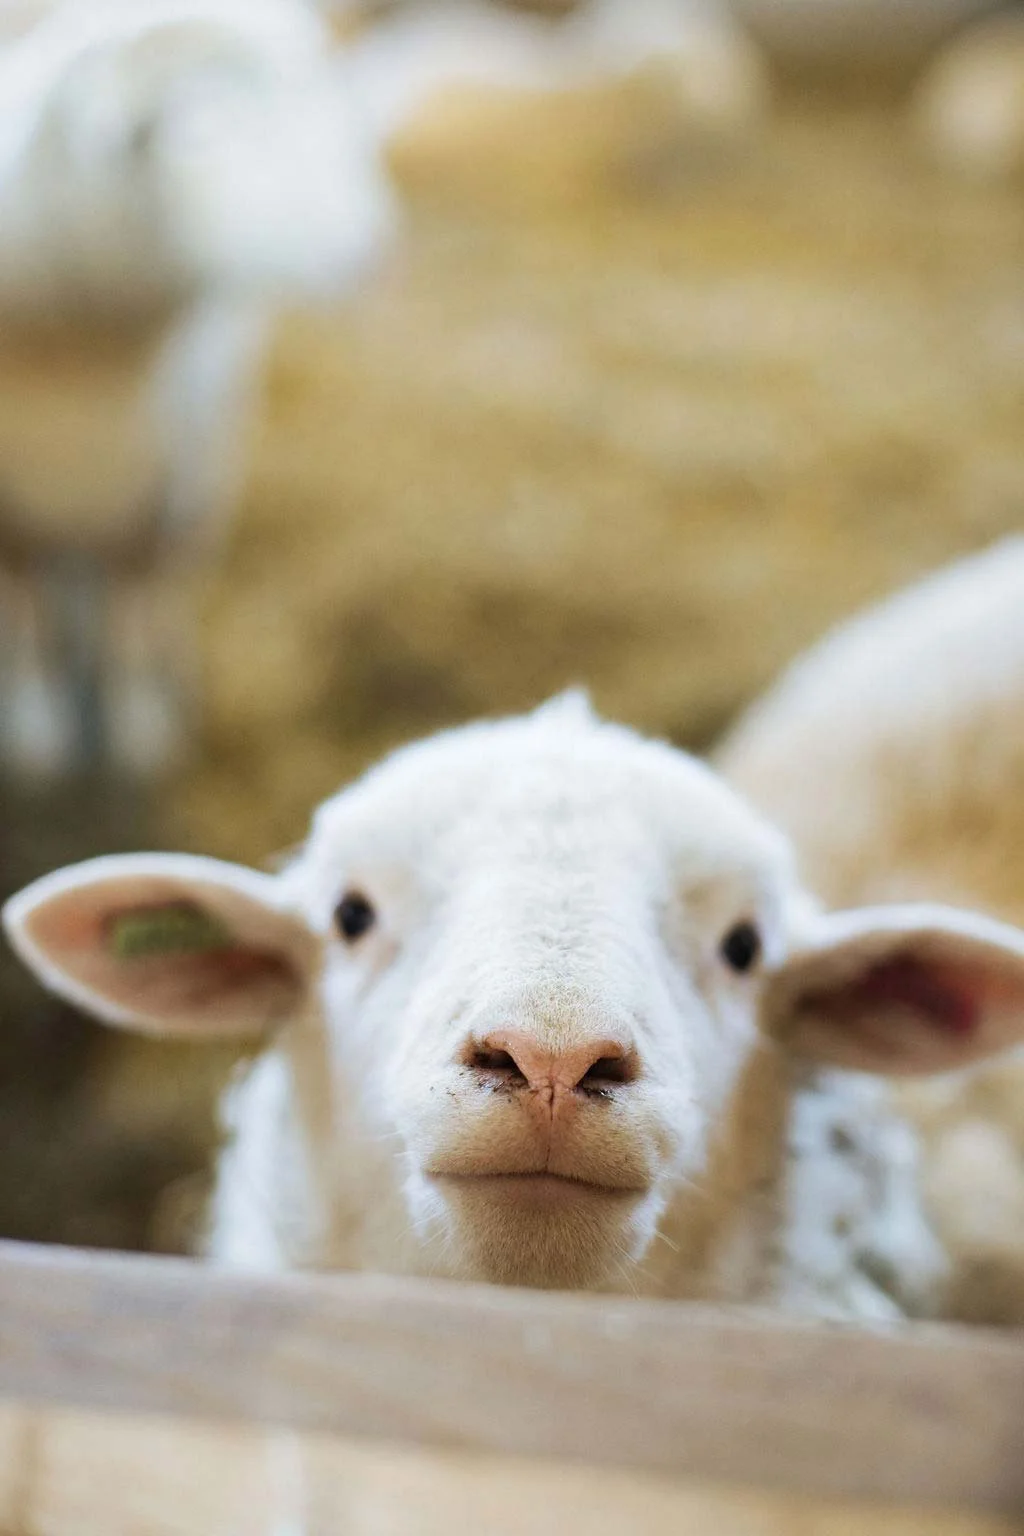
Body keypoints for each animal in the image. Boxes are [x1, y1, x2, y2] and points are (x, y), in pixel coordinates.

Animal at [0, 0, 394, 776]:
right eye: (190, 134)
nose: (365, 251)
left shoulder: (159, 488)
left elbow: (132, 596)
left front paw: (137, 725)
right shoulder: (15, 512)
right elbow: (21, 603)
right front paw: (32, 725)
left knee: (169, 587)